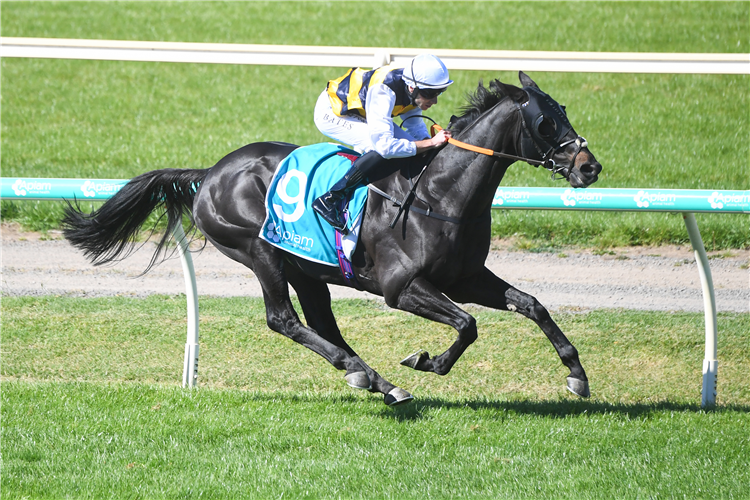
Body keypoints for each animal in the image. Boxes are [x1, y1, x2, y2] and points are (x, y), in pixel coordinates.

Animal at [64, 71, 604, 406]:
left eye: (564, 109)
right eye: (545, 121)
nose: (589, 167)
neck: (439, 193)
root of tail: (210, 173)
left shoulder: (466, 277)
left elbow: (532, 304)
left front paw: (577, 375)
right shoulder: (401, 288)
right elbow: (467, 325)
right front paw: (427, 361)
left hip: (306, 266)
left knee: (322, 324)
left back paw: (375, 379)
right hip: (260, 251)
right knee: (283, 320)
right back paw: (366, 373)